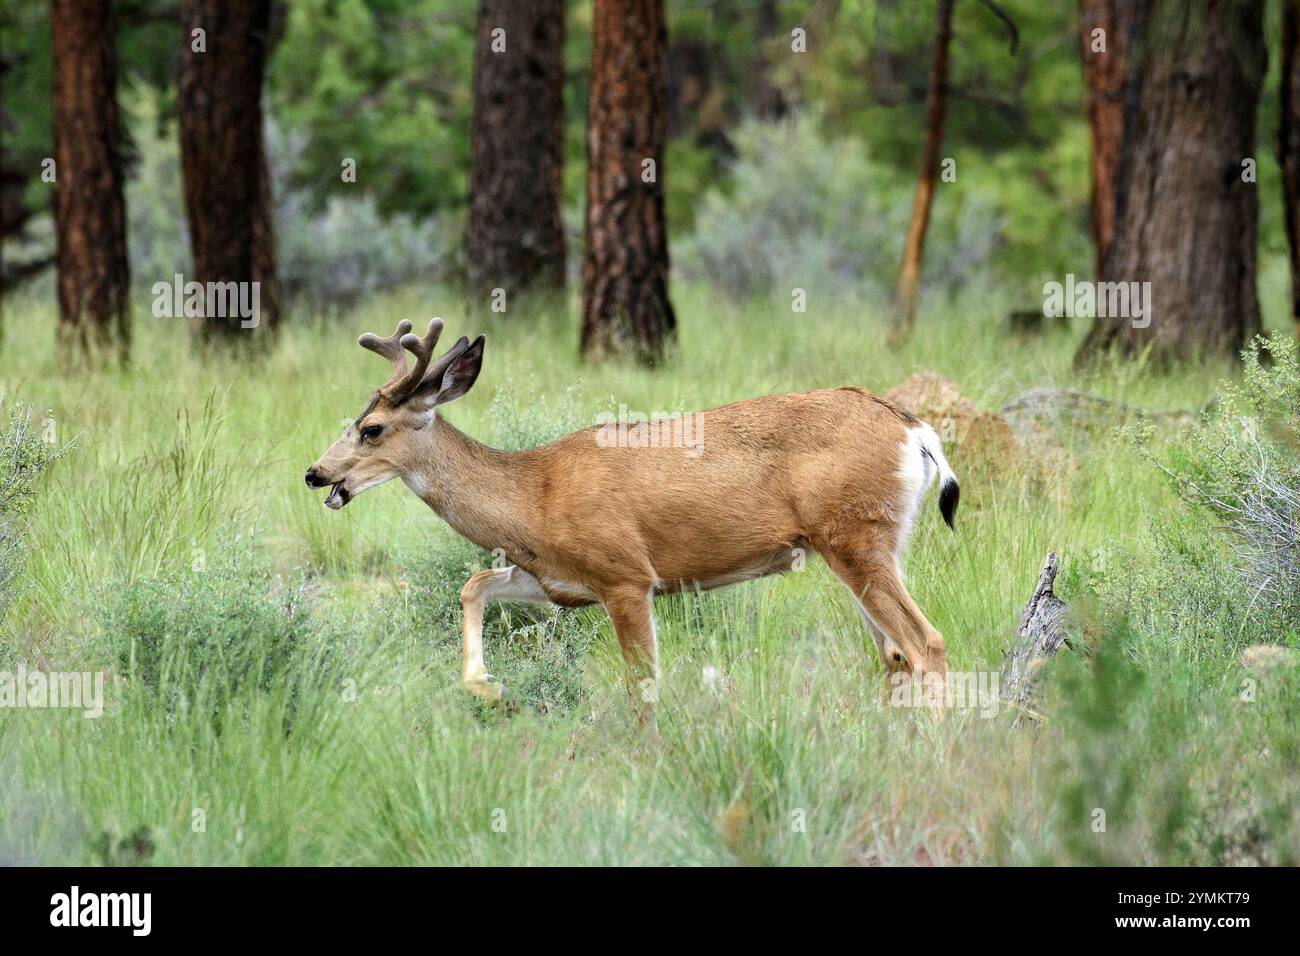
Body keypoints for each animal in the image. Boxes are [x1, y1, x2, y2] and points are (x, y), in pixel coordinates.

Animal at [306, 318, 960, 721]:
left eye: (371, 429)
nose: (315, 473)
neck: (533, 497)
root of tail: (913, 429)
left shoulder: (626, 574)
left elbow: (643, 686)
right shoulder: (560, 579)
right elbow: (474, 584)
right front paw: (491, 688)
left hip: (854, 537)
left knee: (925, 642)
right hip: (872, 542)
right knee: (894, 654)